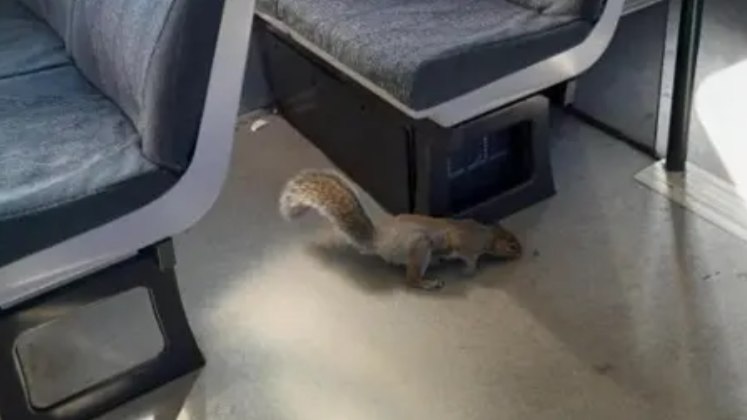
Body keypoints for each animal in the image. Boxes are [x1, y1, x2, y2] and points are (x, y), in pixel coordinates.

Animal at [280, 169, 524, 290]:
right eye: (512, 245)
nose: (521, 253)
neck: (486, 235)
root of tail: (380, 241)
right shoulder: (467, 245)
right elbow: (469, 258)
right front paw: (469, 271)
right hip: (420, 247)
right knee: (410, 280)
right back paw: (427, 282)